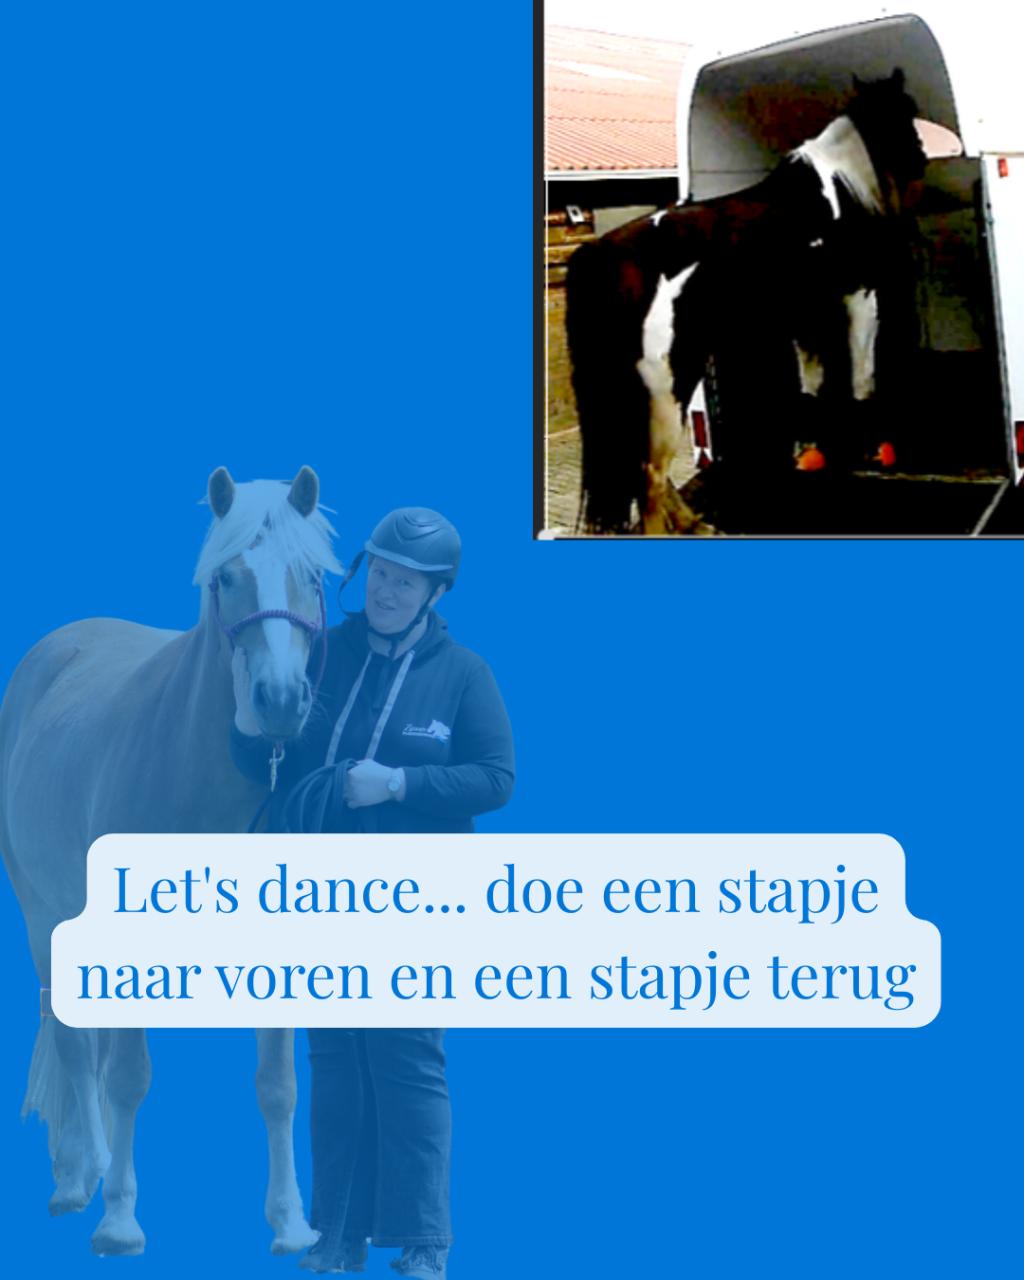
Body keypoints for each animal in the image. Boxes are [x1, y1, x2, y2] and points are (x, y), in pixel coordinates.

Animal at [0, 465, 342, 1255]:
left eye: (312, 577)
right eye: (225, 578)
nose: (280, 701)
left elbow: (278, 1085)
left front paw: (292, 1223)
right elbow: (127, 1076)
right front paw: (120, 1220)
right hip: (43, 919)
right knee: (72, 1040)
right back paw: (80, 1176)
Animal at [565, 70, 928, 534]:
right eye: (905, 113)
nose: (921, 159)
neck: (833, 196)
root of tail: (602, 253)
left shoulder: (805, 318)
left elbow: (811, 388)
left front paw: (812, 452)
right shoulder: (859, 299)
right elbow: (863, 380)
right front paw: (870, 448)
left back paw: (696, 523)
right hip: (667, 384)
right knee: (649, 475)